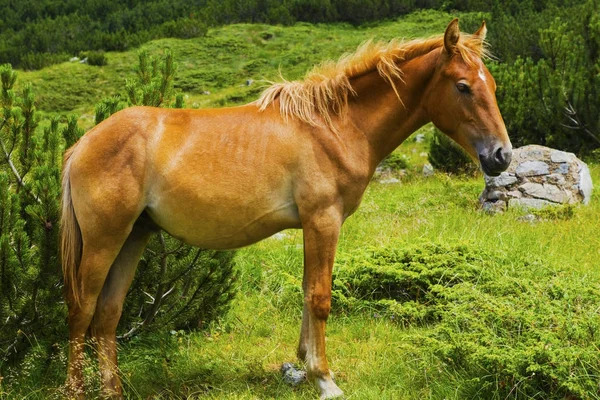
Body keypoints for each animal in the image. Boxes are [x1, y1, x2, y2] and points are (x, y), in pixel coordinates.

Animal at [61, 19, 510, 400]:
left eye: (491, 84)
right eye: (463, 86)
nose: (501, 156)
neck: (333, 127)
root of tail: (84, 143)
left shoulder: (314, 225)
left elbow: (307, 291)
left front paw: (305, 364)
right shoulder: (323, 220)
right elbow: (320, 296)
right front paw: (324, 378)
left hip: (134, 236)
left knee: (107, 315)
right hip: (104, 240)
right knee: (82, 311)